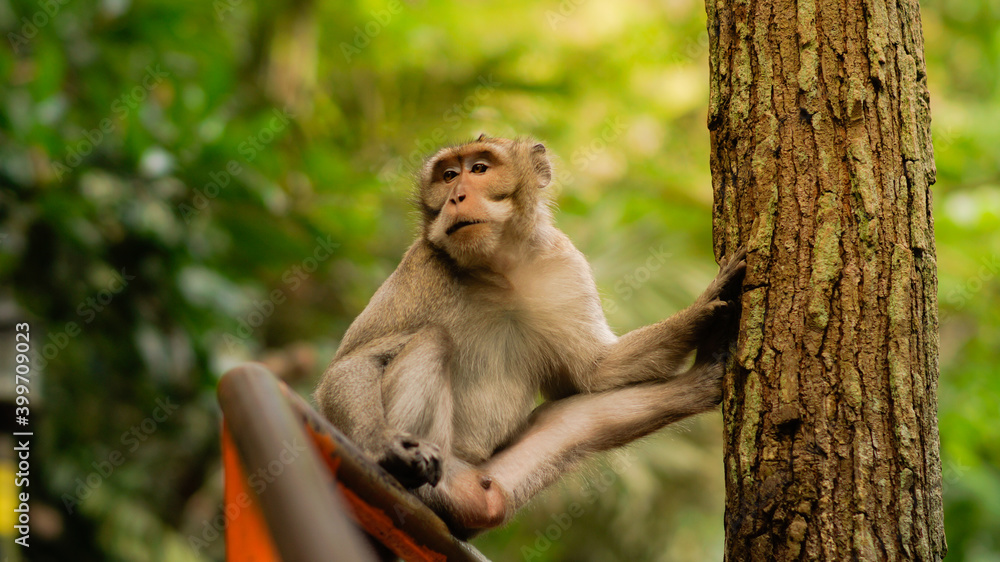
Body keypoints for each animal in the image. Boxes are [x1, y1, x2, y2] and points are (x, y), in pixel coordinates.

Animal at [315, 134, 746, 537]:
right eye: (448, 175)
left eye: (480, 169)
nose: (456, 196)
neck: (497, 270)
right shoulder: (421, 267)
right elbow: (353, 362)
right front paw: (384, 445)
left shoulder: (563, 263)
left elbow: (596, 371)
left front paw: (698, 315)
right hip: (446, 470)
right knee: (433, 339)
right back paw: (412, 482)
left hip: (499, 483)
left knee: (568, 418)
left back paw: (701, 382)